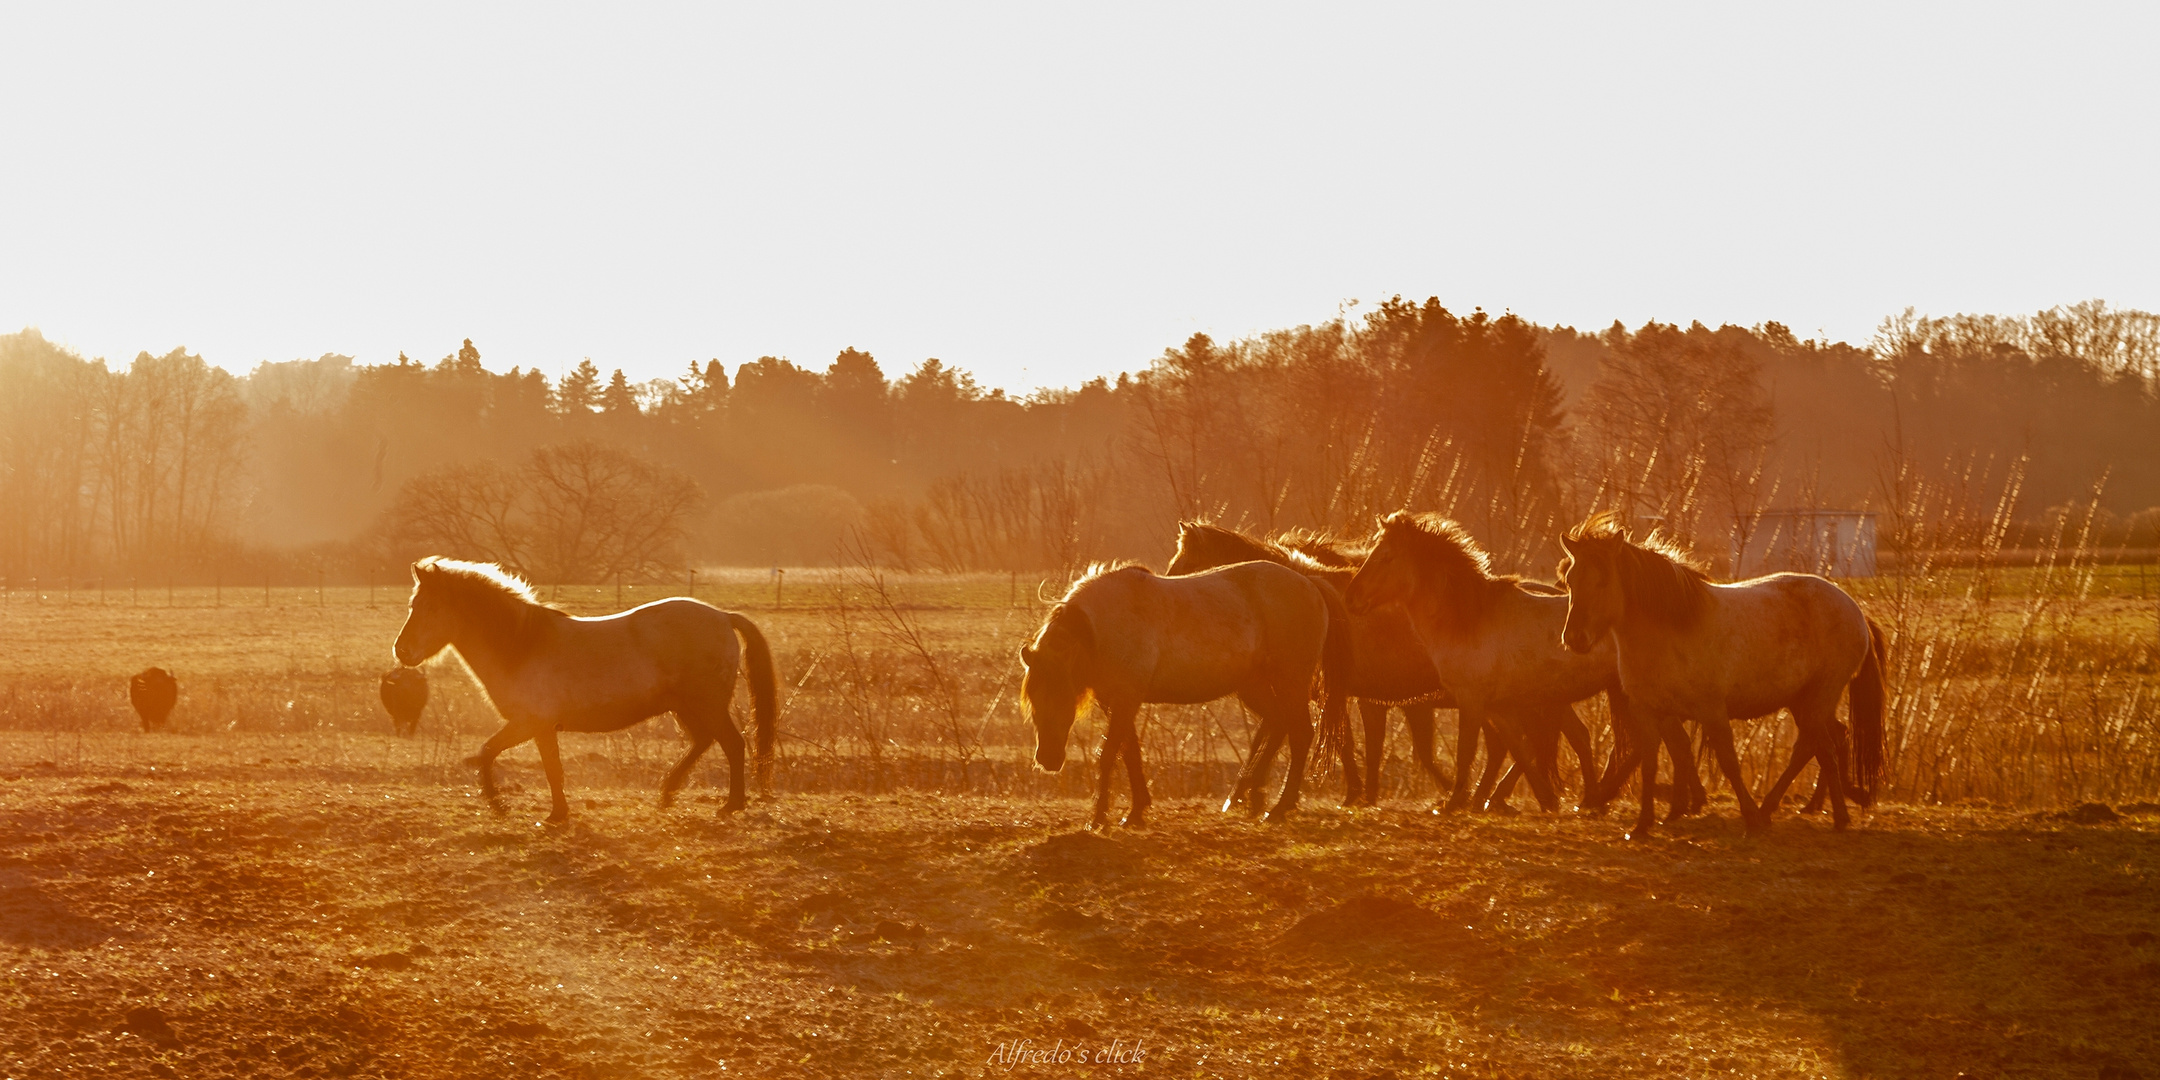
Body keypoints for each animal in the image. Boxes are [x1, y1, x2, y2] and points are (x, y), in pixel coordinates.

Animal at [393, 561, 781, 820]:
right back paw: (669, 792)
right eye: (412, 605)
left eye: (429, 607)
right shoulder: (539, 728)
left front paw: (506, 805)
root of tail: (723, 617)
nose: (402, 651)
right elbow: (540, 764)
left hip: (706, 705)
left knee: (732, 744)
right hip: (687, 708)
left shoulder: (531, 724)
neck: (522, 646)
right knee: (704, 742)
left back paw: (730, 805)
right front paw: (552, 811)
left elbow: (499, 754)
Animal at [1015, 557, 1347, 825]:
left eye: (1062, 699)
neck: (1100, 629)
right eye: (1034, 702)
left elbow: (1108, 755)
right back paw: (1252, 795)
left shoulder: (1126, 699)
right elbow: (1129, 752)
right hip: (1254, 687)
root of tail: (1310, 584)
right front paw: (1136, 811)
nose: (1048, 759)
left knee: (1300, 734)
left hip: (1290, 682)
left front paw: (1098, 818)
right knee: (1278, 724)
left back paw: (1278, 807)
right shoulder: (1116, 701)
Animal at [1339, 509, 1676, 812]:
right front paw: (1544, 799)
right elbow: (1519, 749)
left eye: (1386, 557)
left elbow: (1467, 750)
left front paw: (1455, 801)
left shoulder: (1471, 701)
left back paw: (1601, 797)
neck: (1469, 618)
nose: (1350, 597)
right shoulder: (1498, 708)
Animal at [1555, 514, 1892, 833]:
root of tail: (1856, 610)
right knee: (1816, 745)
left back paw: (1831, 816)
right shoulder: (1651, 712)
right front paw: (1643, 825)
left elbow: (1729, 762)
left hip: (1819, 697)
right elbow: (1654, 763)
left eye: (1603, 581)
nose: (1575, 638)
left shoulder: (1712, 711)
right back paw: (1790, 808)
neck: (1671, 630)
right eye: (1570, 581)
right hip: (1801, 701)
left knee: (1822, 748)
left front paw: (1749, 820)